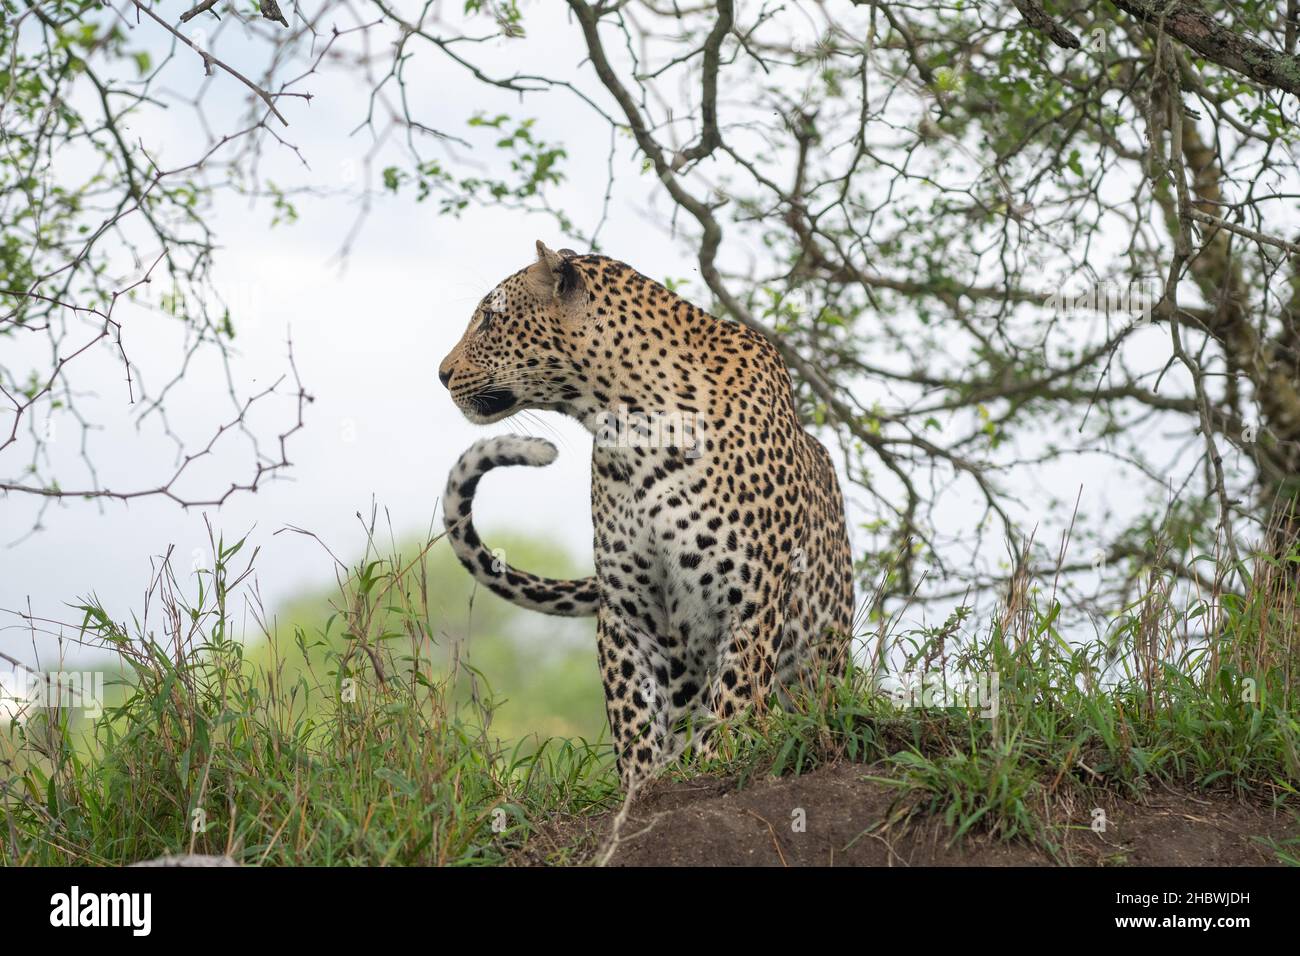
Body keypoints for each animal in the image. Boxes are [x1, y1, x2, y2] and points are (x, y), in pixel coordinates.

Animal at [441, 239, 857, 785]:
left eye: (490, 318)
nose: (441, 373)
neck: (633, 428)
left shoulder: (753, 600)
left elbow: (733, 701)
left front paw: (713, 764)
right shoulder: (628, 610)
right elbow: (632, 715)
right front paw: (643, 784)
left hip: (821, 657)